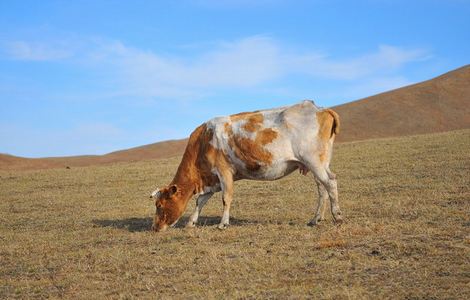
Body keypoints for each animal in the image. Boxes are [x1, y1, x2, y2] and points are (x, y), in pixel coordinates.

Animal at [151, 101, 342, 232]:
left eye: (159, 205)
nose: (155, 227)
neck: (203, 141)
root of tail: (319, 109)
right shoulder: (212, 179)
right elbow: (200, 200)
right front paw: (191, 221)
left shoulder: (224, 172)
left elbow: (226, 198)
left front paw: (223, 223)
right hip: (319, 163)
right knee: (322, 188)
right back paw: (316, 219)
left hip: (313, 161)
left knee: (330, 183)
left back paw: (337, 216)